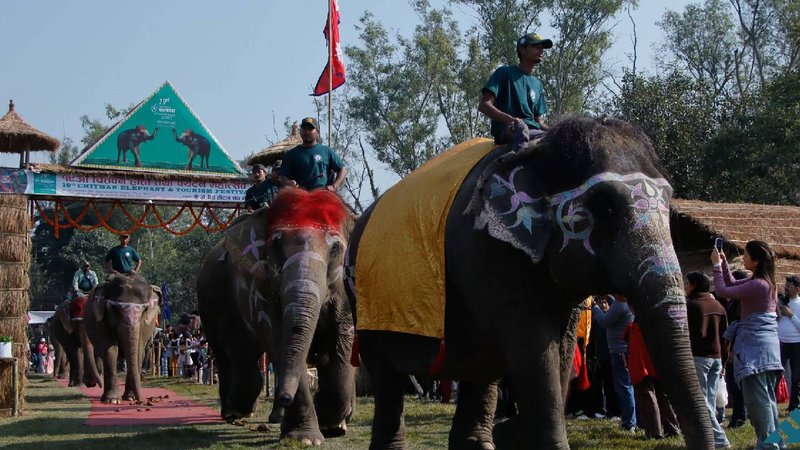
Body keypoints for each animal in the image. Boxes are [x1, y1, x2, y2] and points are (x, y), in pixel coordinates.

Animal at [84, 273, 161, 403]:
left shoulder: (145, 326)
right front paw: (112, 400)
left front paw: (130, 397)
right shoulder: (102, 321)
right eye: (115, 309)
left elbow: (138, 352)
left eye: (145, 310)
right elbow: (110, 350)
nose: (141, 401)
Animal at [197, 187, 355, 445]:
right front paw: (305, 439)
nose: (283, 397)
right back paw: (235, 411)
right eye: (276, 244)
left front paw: (332, 426)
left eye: (335, 249)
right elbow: (277, 335)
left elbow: (343, 336)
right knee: (229, 350)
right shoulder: (260, 287)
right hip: (211, 300)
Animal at [346, 117, 714, 449]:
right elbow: (535, 354)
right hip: (364, 301)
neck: (543, 148)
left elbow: (560, 353)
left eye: (669, 203)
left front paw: (513, 432)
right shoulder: (493, 255)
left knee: (477, 368)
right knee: (386, 374)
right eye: (605, 206)